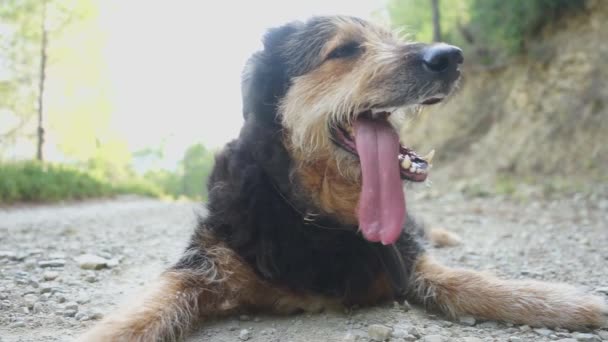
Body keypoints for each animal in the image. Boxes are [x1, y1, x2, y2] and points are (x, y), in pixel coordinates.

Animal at [82, 16, 608, 342]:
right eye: (347, 50)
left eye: (391, 38)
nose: (451, 57)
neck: (316, 214)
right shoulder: (204, 262)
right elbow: (143, 310)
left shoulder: (406, 259)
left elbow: (477, 283)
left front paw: (575, 303)